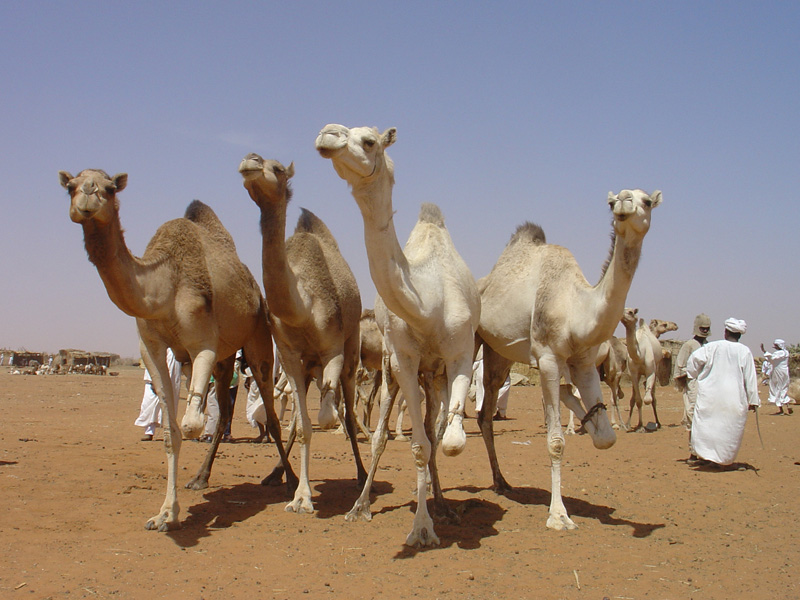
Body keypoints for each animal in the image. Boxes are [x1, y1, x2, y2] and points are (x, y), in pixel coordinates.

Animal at [59, 169, 295, 531]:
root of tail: (256, 289)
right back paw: (200, 477)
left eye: (110, 189)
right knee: (224, 413)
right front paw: (166, 514)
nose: (86, 196)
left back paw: (288, 482)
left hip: (257, 338)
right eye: (70, 186)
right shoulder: (152, 348)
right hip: (226, 359)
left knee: (269, 413)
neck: (163, 287)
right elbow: (172, 432)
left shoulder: (203, 345)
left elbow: (191, 424)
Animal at [238, 154, 365, 514]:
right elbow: (305, 426)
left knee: (349, 411)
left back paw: (363, 476)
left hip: (352, 350)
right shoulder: (290, 357)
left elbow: (328, 417)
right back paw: (275, 475)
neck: (302, 308)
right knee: (299, 419)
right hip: (306, 367)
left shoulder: (333, 349)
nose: (250, 161)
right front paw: (302, 497)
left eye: (278, 168)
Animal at [316, 124, 480, 547]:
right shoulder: (403, 359)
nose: (327, 134)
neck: (427, 302)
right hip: (395, 371)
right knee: (383, 437)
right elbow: (419, 445)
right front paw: (421, 528)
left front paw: (434, 513)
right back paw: (362, 504)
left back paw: (443, 502)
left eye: (369, 140)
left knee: (438, 428)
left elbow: (448, 440)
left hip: (434, 375)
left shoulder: (460, 355)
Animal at [476, 188, 662, 530]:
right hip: (471, 338)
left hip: (499, 352)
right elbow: (556, 442)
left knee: (485, 412)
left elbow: (606, 439)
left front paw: (582, 412)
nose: (623, 202)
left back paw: (502, 482)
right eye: (611, 202)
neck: (576, 307)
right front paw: (559, 515)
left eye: (646, 201)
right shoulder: (548, 358)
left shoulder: (584, 362)